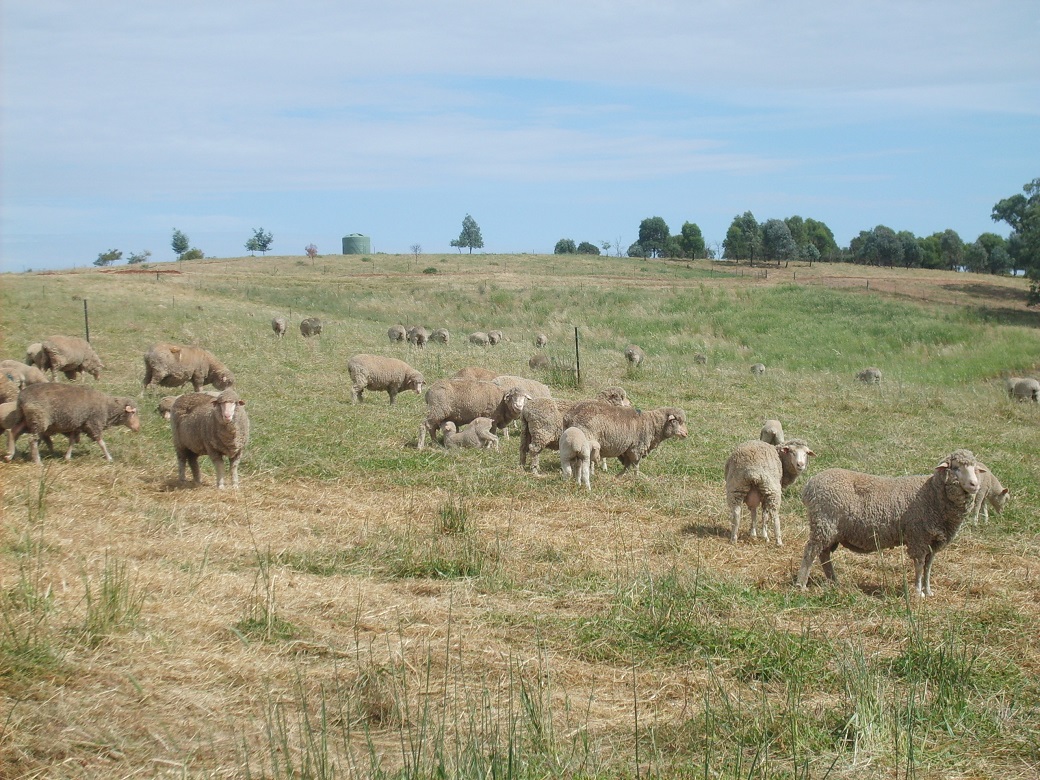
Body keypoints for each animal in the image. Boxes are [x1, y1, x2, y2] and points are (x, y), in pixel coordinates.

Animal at [7, 382, 140, 463]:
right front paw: (109, 458)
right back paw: (37, 461)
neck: (108, 408)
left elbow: (71, 441)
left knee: (13, 432)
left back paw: (10, 455)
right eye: (133, 413)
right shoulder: (93, 424)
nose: (138, 428)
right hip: (38, 419)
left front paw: (67, 457)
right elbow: (102, 443)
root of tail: (22, 398)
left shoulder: (78, 426)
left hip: (24, 418)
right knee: (31, 440)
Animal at [561, 403, 690, 476]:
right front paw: (636, 478)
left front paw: (619, 477)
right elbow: (636, 465)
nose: (686, 433)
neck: (652, 425)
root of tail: (569, 416)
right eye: (677, 421)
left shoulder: (627, 450)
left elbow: (627, 466)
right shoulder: (636, 449)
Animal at [794, 449, 981, 594]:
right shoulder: (918, 536)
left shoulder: (933, 541)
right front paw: (917, 592)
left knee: (824, 554)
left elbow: (928, 566)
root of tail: (810, 485)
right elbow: (919, 565)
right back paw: (801, 584)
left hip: (831, 530)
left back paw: (834, 581)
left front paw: (928, 591)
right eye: (956, 468)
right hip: (823, 523)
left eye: (975, 469)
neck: (932, 493)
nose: (974, 485)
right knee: (810, 551)